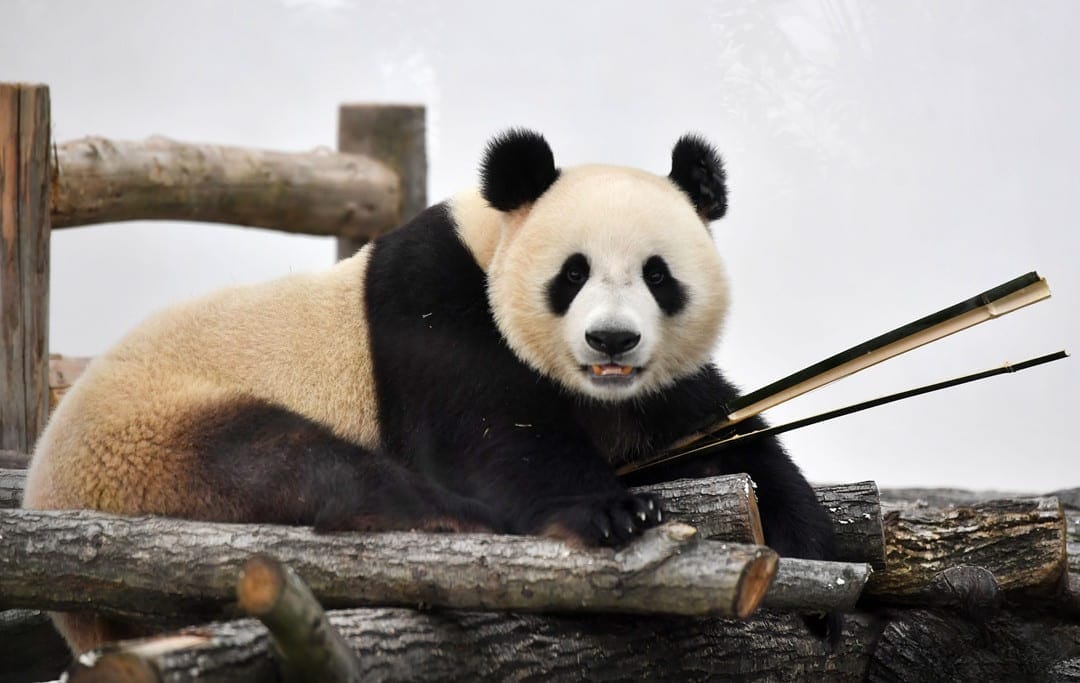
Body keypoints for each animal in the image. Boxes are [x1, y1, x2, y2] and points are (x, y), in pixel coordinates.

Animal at [24, 130, 838, 652]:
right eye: (572, 272)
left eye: (657, 274)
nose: (611, 341)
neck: (491, 237)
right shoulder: (432, 303)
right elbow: (485, 434)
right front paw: (611, 510)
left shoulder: (640, 395)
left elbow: (714, 433)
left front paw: (814, 555)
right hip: (149, 439)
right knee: (288, 462)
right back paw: (449, 521)